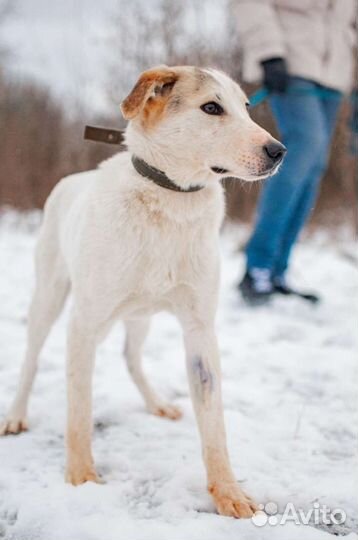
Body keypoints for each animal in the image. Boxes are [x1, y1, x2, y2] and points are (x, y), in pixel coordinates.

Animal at [0, 65, 286, 516]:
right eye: (211, 108)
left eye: (245, 107)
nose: (279, 151)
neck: (170, 199)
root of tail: (72, 178)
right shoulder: (83, 324)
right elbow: (78, 410)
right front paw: (81, 476)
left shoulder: (200, 330)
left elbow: (214, 425)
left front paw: (228, 492)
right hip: (49, 297)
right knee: (31, 359)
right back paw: (15, 415)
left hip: (141, 317)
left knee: (131, 357)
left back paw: (157, 403)